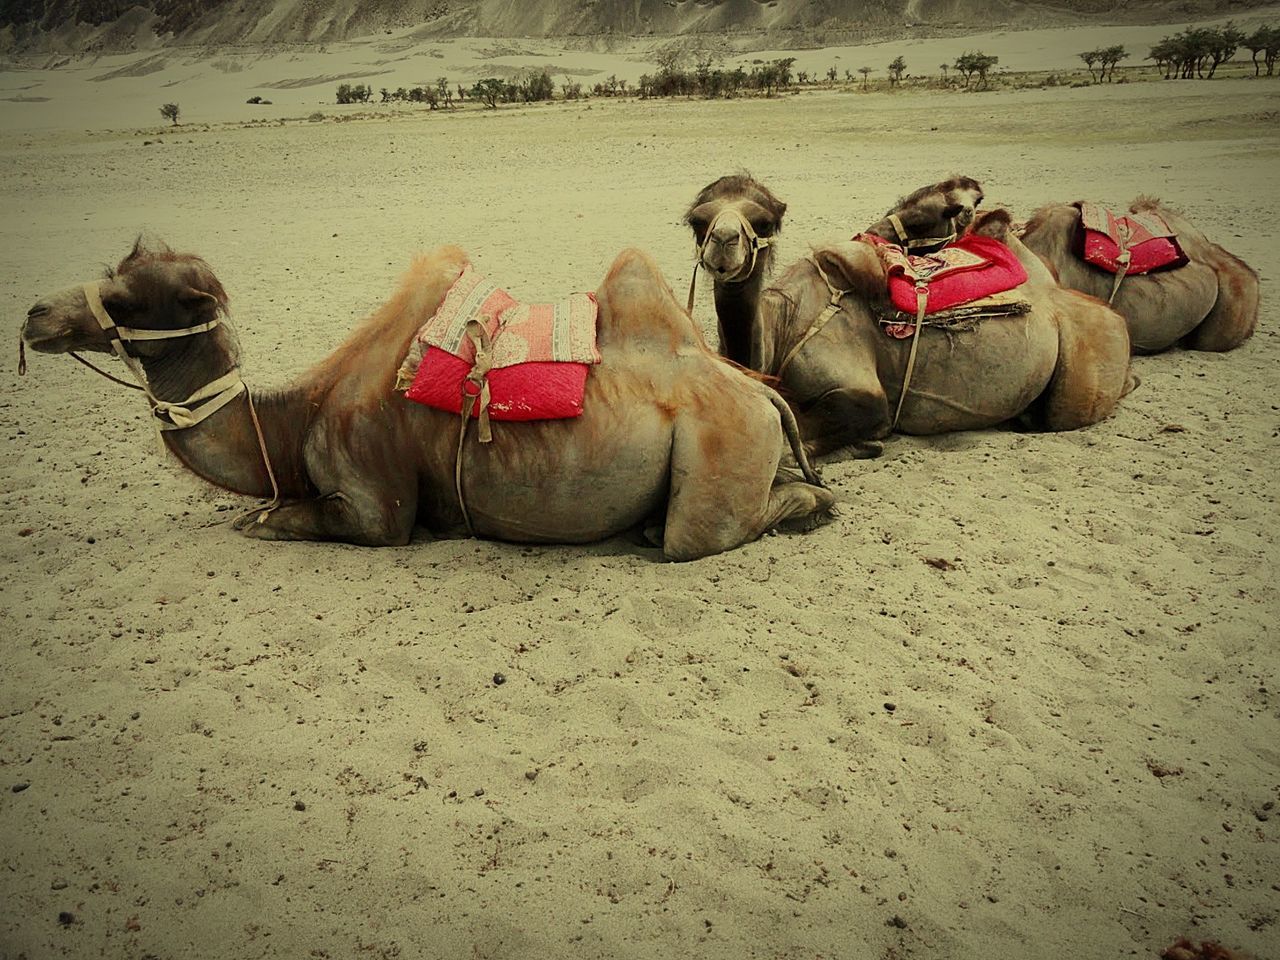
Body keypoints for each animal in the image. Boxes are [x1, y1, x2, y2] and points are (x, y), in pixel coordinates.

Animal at [24, 238, 839, 563]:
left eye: (127, 297)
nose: (35, 314)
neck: (293, 420)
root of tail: (760, 396)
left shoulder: (373, 501)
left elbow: (277, 521)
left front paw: (259, 519)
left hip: (721, 449)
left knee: (703, 531)